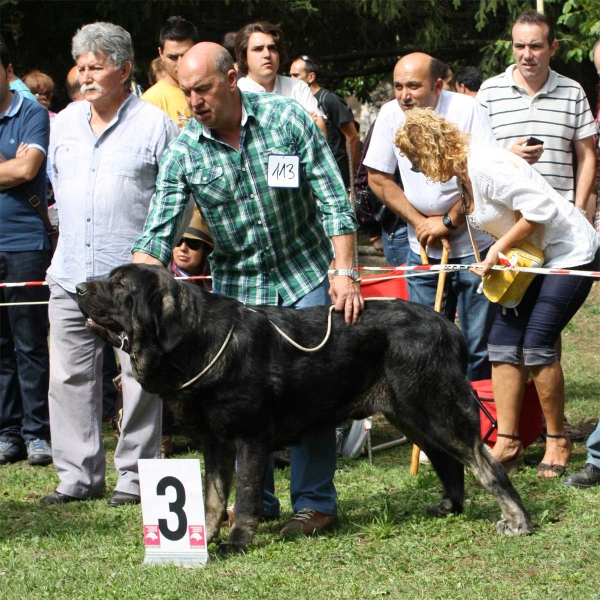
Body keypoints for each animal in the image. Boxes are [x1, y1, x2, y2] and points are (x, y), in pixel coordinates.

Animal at [77, 264, 532, 556]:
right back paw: (450, 506)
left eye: (119, 285)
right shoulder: (216, 445)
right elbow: (212, 497)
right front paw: (204, 537)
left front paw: (236, 543)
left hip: (437, 410)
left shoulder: (250, 440)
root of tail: (447, 326)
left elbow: (244, 497)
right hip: (412, 414)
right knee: (446, 460)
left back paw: (518, 521)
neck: (196, 340)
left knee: (486, 465)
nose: (79, 288)